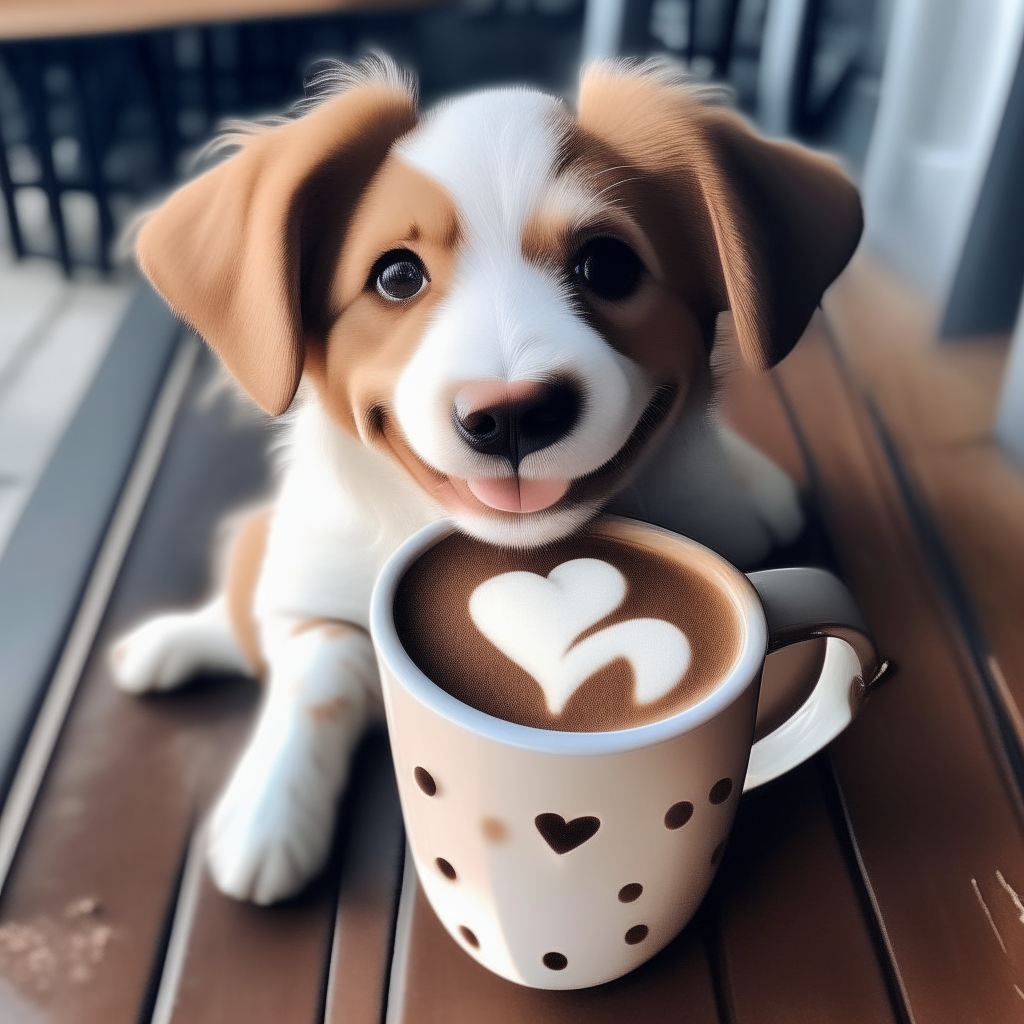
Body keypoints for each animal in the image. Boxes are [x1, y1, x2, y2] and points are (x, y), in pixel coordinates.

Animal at [112, 56, 864, 905]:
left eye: (608, 265)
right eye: (396, 276)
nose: (511, 416)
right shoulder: (313, 582)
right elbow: (319, 668)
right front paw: (270, 813)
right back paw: (173, 642)